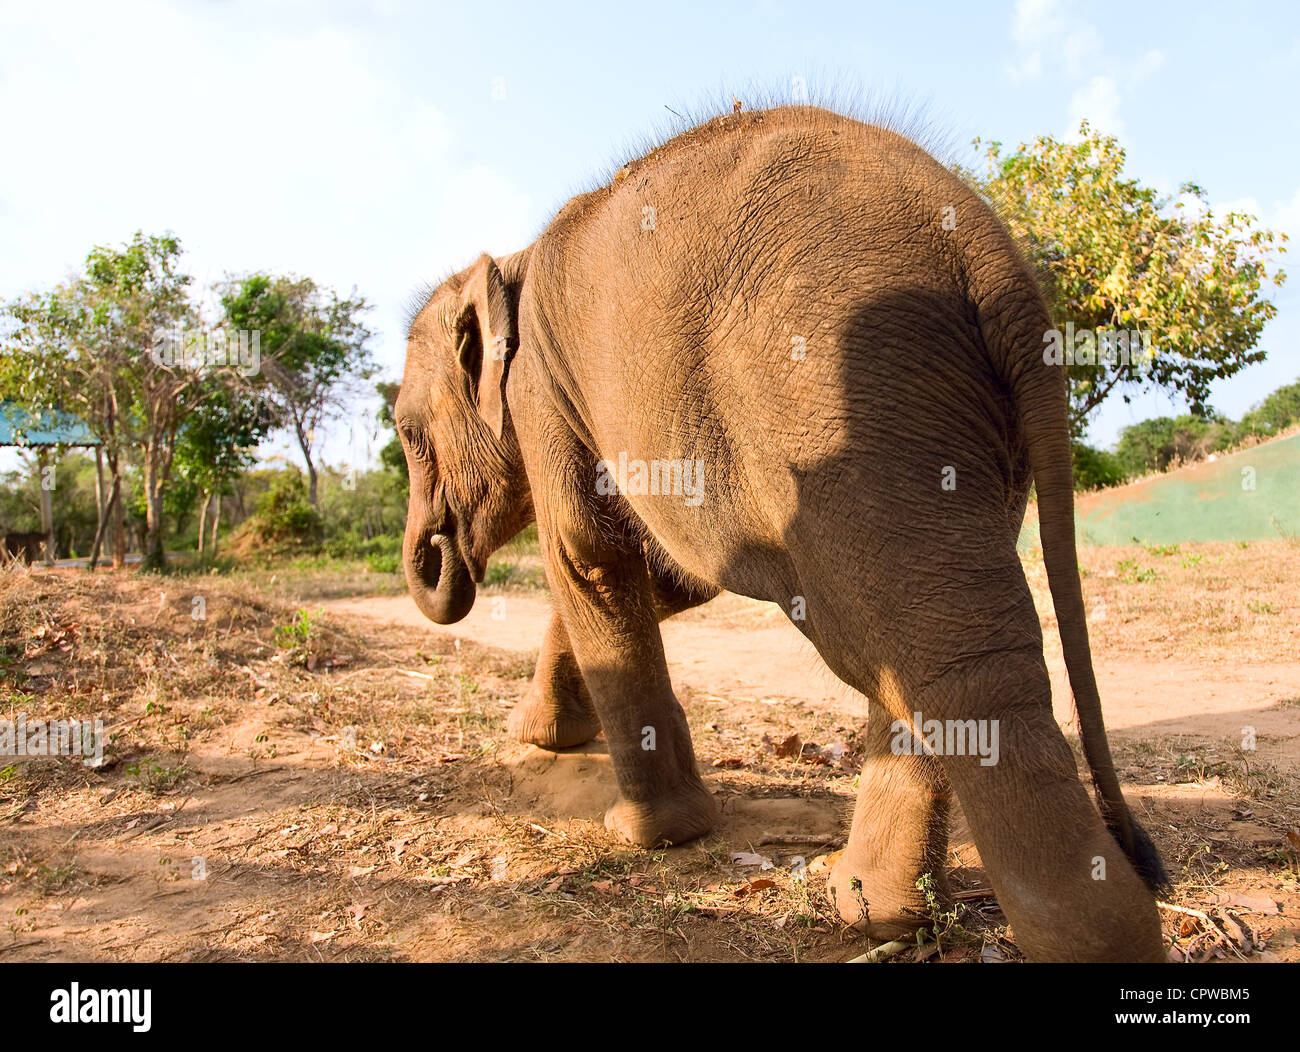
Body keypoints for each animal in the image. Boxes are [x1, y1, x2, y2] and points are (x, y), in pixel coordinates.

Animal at [395, 104, 1168, 962]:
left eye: (406, 432)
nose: (431, 560)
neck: (510, 261)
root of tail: (993, 258)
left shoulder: (542, 393)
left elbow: (589, 558)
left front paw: (645, 835)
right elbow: (672, 576)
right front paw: (542, 736)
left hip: (843, 392)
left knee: (942, 654)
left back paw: (1079, 932)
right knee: (907, 636)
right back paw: (872, 910)